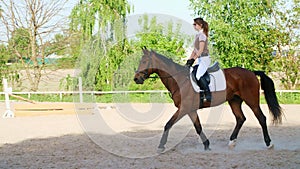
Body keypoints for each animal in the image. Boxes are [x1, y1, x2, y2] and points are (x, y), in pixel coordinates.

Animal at [133, 47, 282, 152]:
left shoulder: (183, 109)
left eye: (144, 61)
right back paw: (231, 142)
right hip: (234, 101)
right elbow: (198, 127)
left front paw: (161, 146)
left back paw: (269, 143)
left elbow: (168, 124)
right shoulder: (190, 110)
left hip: (251, 100)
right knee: (240, 119)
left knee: (261, 118)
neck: (179, 80)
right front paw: (207, 145)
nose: (136, 79)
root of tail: (251, 72)